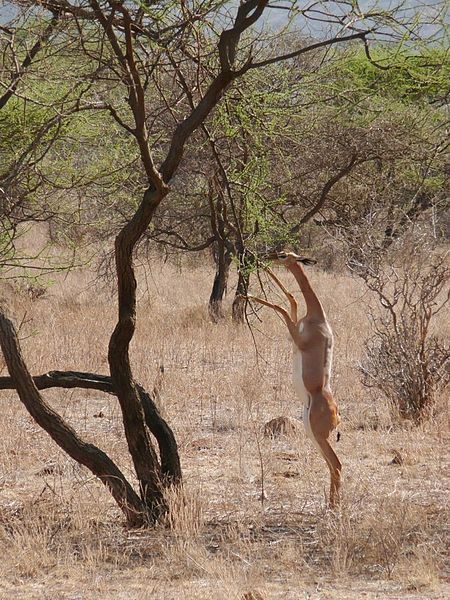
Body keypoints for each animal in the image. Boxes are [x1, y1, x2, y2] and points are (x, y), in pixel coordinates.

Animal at [246, 251, 342, 508]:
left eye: (283, 255)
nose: (267, 257)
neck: (318, 318)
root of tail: (337, 415)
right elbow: (291, 299)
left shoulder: (296, 338)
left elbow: (282, 305)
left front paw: (246, 294)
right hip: (312, 434)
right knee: (332, 465)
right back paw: (330, 504)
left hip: (318, 436)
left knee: (337, 465)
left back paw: (334, 507)